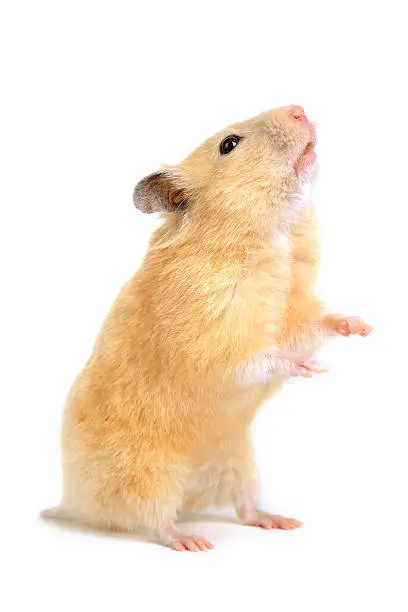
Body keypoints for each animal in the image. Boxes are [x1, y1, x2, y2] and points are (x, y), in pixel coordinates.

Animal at [41, 104, 372, 548]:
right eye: (229, 144)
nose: (300, 110)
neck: (273, 234)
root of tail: (73, 502)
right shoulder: (213, 340)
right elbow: (260, 358)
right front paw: (309, 368)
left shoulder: (293, 316)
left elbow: (314, 326)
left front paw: (359, 326)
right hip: (149, 474)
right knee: (155, 519)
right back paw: (191, 541)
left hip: (238, 460)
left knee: (243, 506)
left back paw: (279, 521)